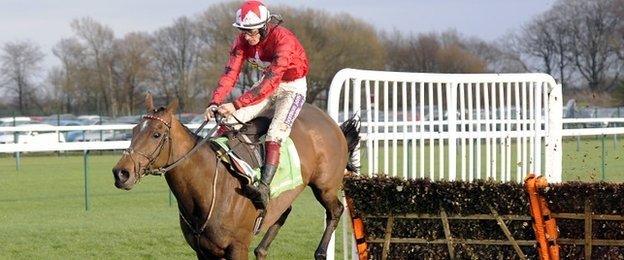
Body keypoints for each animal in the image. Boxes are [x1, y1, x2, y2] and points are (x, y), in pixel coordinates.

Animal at [109, 94, 358, 260]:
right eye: (133, 131)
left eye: (156, 134)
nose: (121, 173)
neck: (206, 189)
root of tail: (330, 122)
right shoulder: (203, 252)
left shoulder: (237, 248)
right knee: (283, 212)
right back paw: (262, 249)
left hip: (324, 186)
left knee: (336, 210)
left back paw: (320, 252)